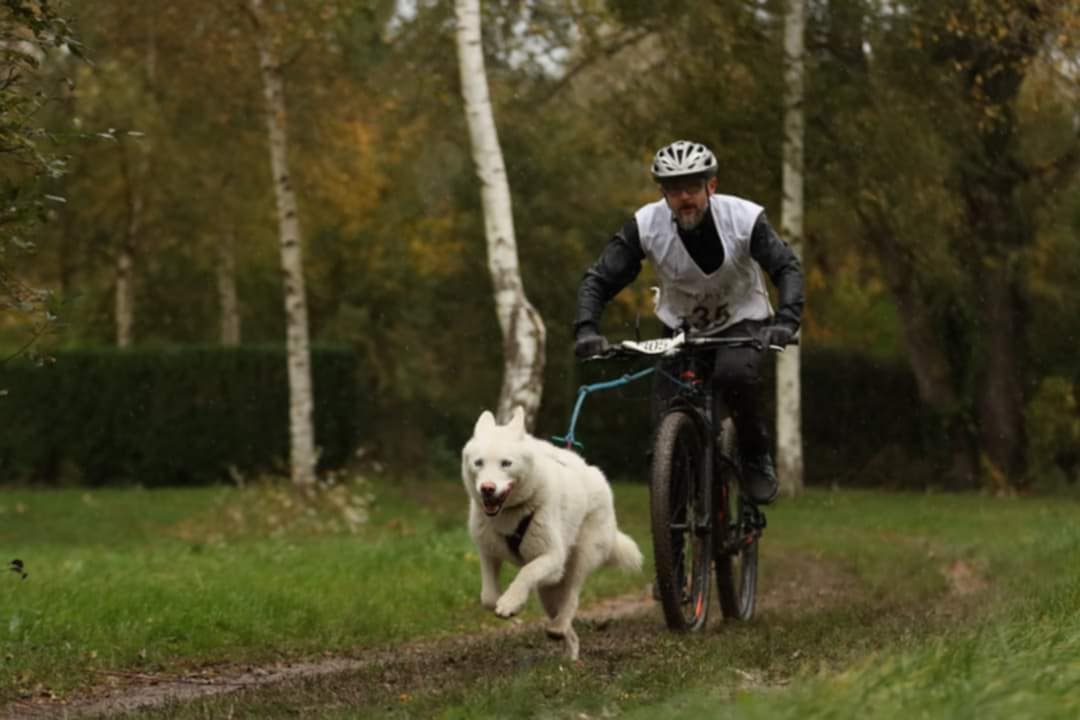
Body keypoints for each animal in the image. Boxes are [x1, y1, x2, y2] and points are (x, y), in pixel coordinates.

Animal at [461, 406, 643, 660]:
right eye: (479, 463)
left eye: (506, 463)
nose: (487, 488)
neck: (512, 513)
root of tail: (597, 475)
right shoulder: (488, 553)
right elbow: (488, 597)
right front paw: (505, 602)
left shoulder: (553, 557)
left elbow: (526, 573)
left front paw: (510, 602)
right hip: (548, 591)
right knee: (568, 626)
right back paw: (569, 654)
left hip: (580, 559)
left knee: (571, 597)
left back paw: (559, 626)